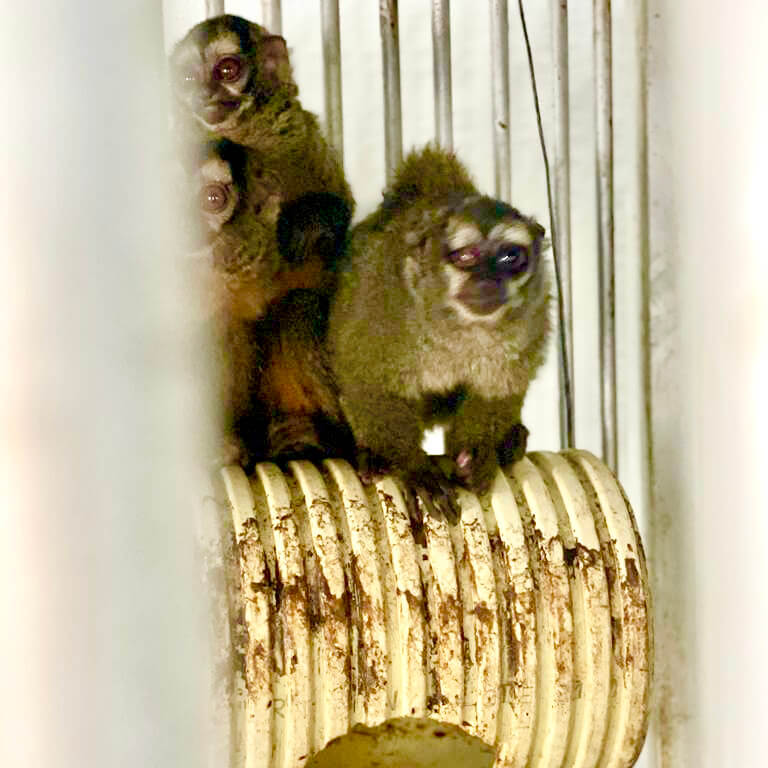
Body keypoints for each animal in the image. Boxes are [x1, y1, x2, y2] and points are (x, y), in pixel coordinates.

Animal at [330, 146, 552, 512]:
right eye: (465, 256)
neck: (458, 324)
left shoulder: (532, 315)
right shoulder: (379, 306)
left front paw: (478, 453)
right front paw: (414, 466)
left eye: (510, 257)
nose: (488, 281)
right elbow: (365, 379)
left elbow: (499, 390)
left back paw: (511, 441)